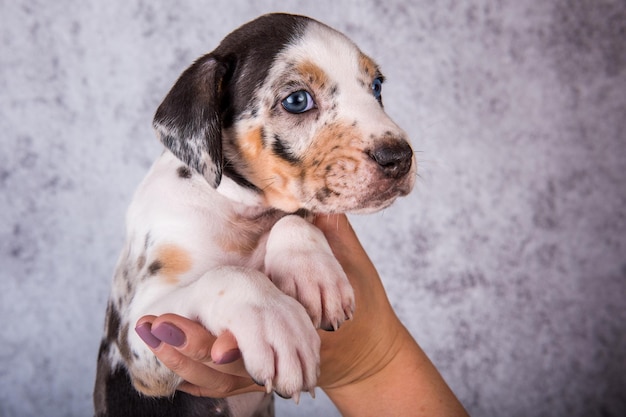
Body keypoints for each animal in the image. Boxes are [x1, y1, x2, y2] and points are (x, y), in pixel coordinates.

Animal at [92, 12, 414, 416]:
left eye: (376, 87)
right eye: (297, 100)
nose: (400, 158)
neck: (242, 210)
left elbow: (292, 219)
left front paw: (312, 273)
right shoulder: (138, 336)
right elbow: (227, 276)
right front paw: (275, 321)